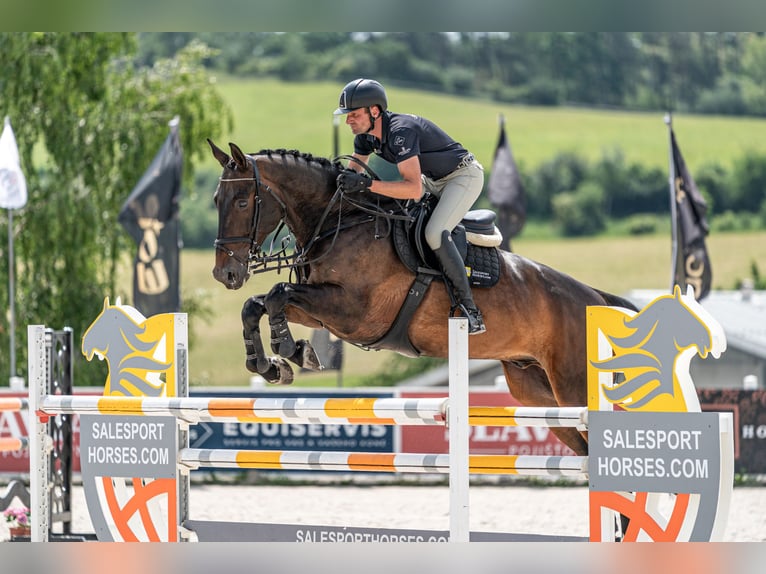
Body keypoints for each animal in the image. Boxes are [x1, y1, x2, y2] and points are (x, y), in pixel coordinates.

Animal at [208, 140, 638, 457]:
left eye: (243, 201)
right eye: (215, 200)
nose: (225, 274)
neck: (341, 222)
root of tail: (596, 299)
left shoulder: (353, 313)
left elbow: (277, 294)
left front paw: (289, 350)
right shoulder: (323, 311)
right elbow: (257, 304)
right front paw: (271, 364)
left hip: (573, 385)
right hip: (536, 390)